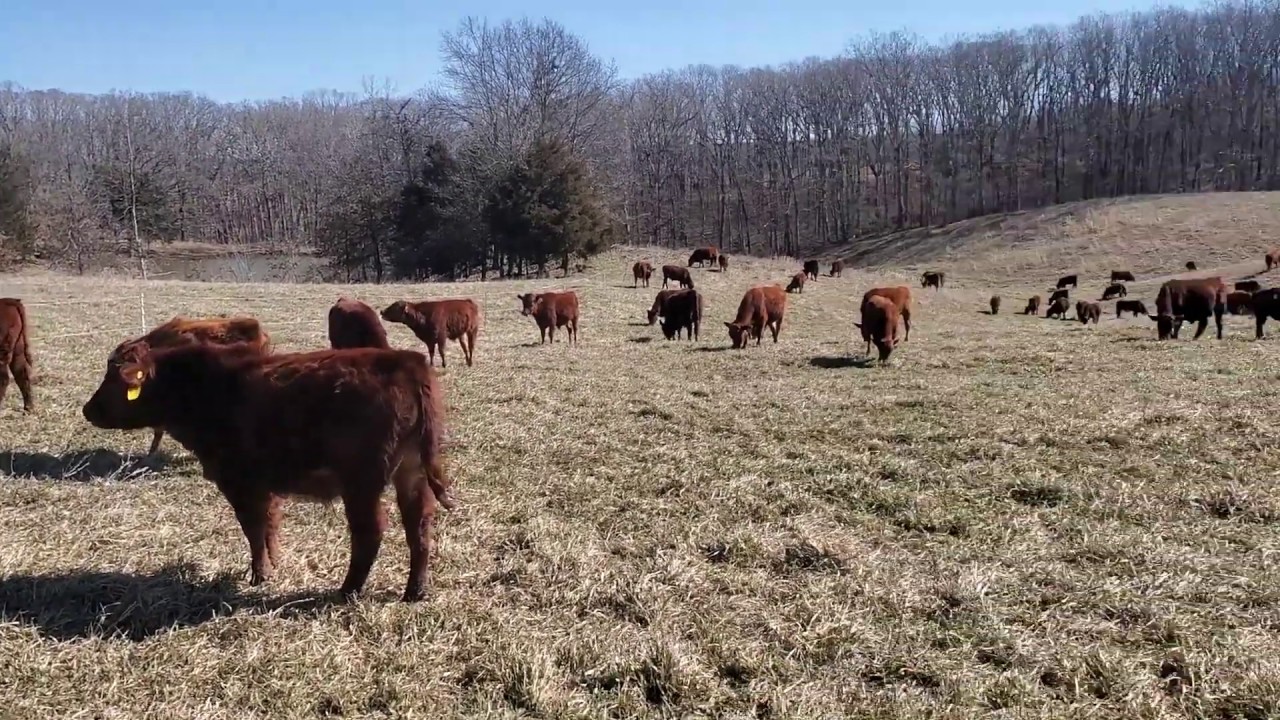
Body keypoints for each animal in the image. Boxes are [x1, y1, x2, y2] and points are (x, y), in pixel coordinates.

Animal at [81, 342, 454, 602]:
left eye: (116, 380)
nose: (88, 409)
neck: (205, 387)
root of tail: (407, 361)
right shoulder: (266, 485)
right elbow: (270, 525)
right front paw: (274, 563)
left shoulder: (240, 481)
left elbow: (254, 529)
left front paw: (260, 575)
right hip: (412, 473)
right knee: (419, 527)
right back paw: (416, 591)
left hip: (361, 482)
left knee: (370, 533)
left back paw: (347, 590)